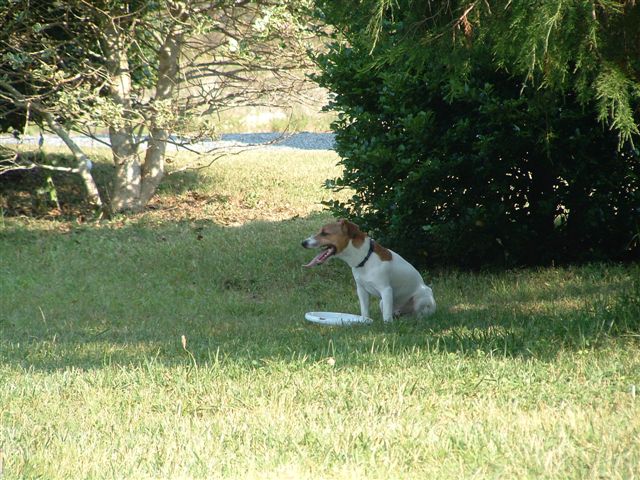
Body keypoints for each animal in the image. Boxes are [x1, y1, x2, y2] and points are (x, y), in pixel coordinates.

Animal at [302, 219, 436, 322]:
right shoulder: (361, 290)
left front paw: (387, 325)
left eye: (325, 233)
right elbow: (365, 310)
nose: (303, 243)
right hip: (382, 303)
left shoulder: (386, 290)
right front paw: (364, 321)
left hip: (421, 297)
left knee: (419, 313)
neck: (365, 258)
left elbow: (386, 316)